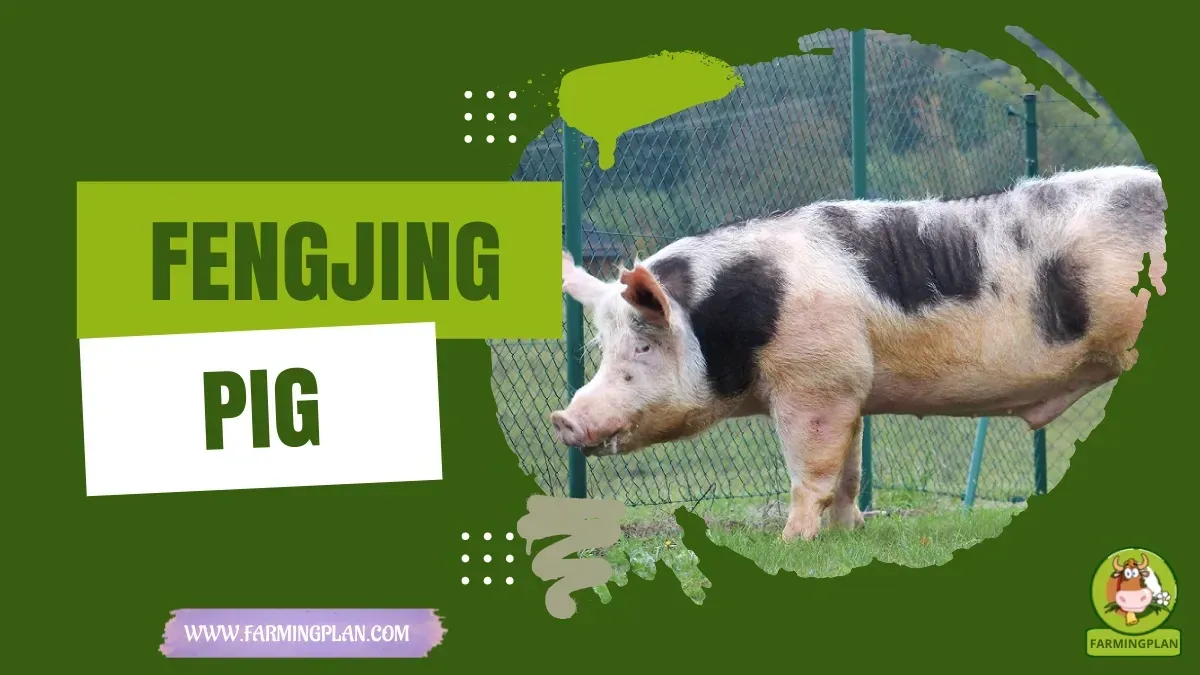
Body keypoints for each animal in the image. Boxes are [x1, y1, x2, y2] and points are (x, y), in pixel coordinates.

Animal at [552, 164, 1167, 542]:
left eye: (643, 345)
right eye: (603, 347)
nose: (563, 419)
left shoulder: (815, 378)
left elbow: (811, 469)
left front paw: (790, 542)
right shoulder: (847, 386)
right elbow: (848, 470)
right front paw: (850, 535)